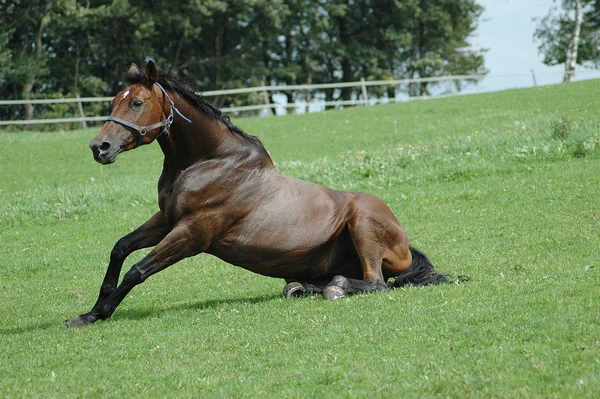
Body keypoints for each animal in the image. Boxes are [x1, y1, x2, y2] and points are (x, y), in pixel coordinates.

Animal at [67, 60, 450, 328]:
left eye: (137, 103)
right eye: (115, 100)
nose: (99, 148)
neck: (211, 161)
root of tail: (405, 245)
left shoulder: (191, 235)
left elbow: (137, 270)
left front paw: (95, 315)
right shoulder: (166, 220)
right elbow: (120, 248)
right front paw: (91, 310)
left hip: (362, 224)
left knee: (376, 284)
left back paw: (333, 288)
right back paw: (303, 287)